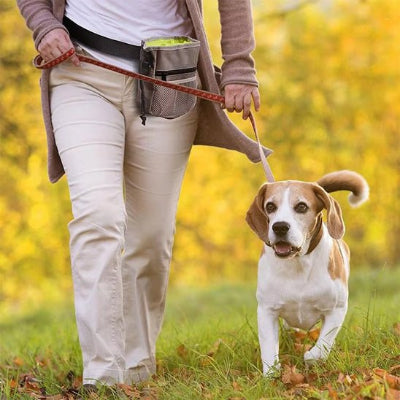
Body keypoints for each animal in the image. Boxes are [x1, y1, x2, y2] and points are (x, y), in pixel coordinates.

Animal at [247, 170, 368, 376]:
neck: (298, 263)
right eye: (270, 206)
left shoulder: (337, 309)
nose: (279, 227)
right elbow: (269, 347)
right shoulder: (266, 310)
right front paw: (271, 374)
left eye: (301, 206)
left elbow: (324, 343)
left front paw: (311, 356)